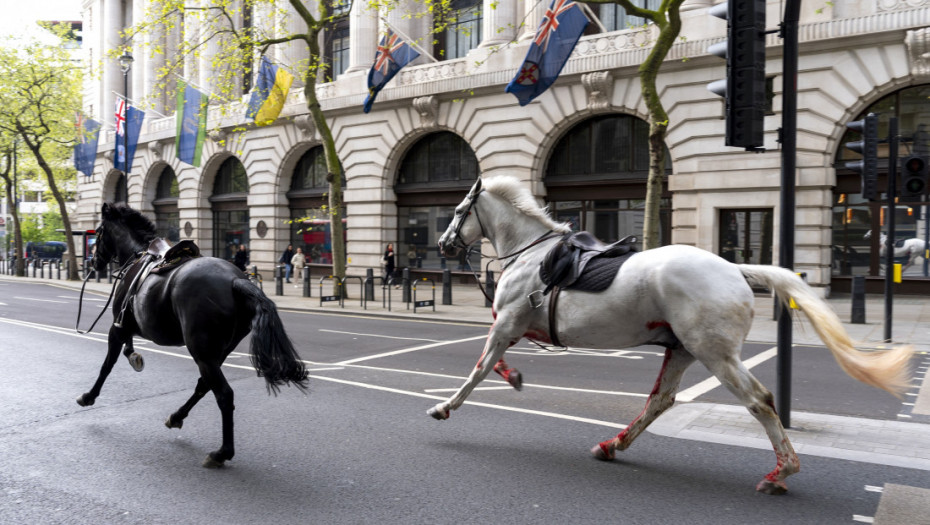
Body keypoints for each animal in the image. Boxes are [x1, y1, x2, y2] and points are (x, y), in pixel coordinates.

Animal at [77, 202, 308, 466]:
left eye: (98, 232)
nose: (92, 262)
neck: (138, 254)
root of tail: (236, 280)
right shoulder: (128, 325)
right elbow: (127, 349)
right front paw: (135, 357)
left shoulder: (118, 327)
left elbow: (107, 365)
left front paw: (89, 396)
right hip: (217, 352)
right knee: (204, 386)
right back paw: (177, 417)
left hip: (202, 351)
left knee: (224, 394)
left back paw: (222, 452)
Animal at [432, 178, 908, 494]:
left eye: (457, 211)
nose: (443, 244)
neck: (531, 254)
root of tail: (736, 269)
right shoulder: (512, 327)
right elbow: (494, 363)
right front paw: (513, 377)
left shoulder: (506, 324)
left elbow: (479, 369)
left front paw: (444, 407)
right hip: (682, 350)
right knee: (660, 400)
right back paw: (612, 444)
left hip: (715, 354)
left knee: (760, 401)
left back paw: (781, 472)